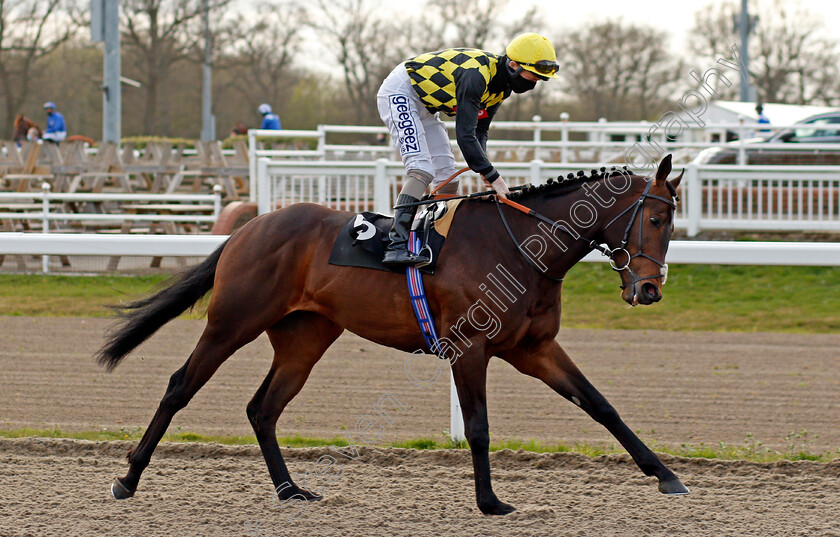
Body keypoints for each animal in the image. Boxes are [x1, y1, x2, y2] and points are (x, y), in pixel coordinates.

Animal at [98, 153, 688, 512]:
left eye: (673, 222)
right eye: (655, 220)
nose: (649, 290)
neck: (521, 246)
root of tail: (250, 226)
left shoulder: (535, 348)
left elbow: (601, 406)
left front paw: (666, 475)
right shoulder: (470, 349)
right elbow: (479, 428)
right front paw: (490, 502)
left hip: (305, 337)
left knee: (263, 408)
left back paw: (291, 490)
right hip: (232, 322)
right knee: (180, 386)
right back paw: (127, 479)